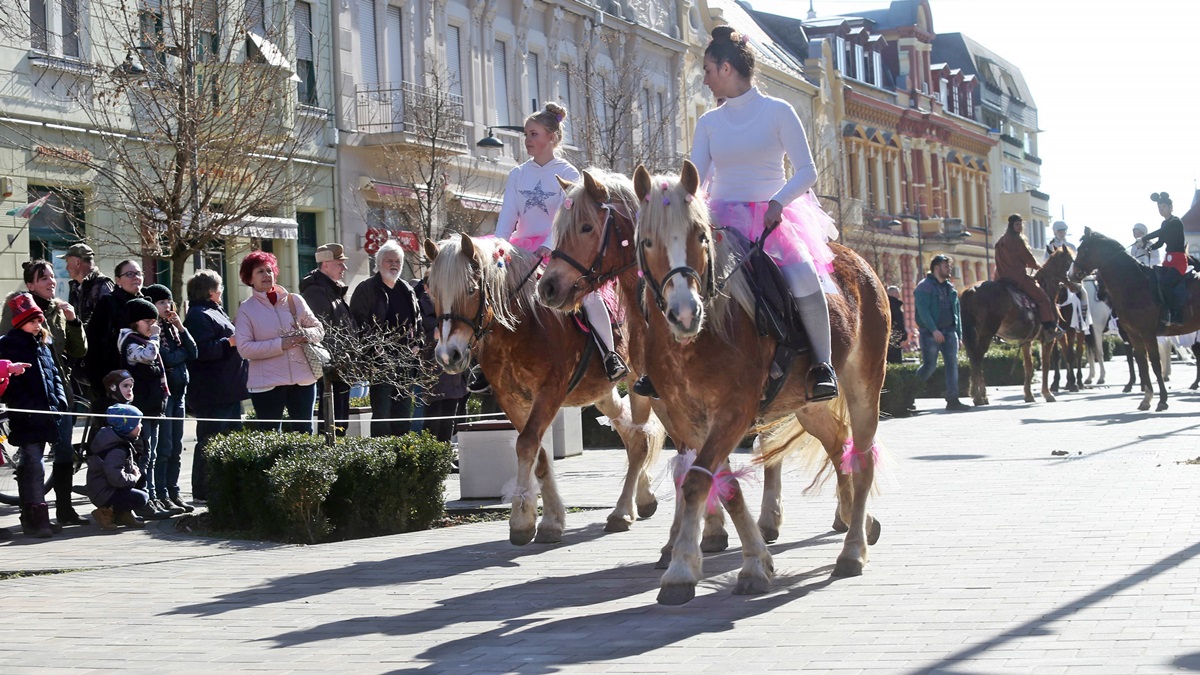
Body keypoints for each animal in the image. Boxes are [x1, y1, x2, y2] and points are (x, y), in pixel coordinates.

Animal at [422, 230, 667, 540]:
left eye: (470, 289)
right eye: (432, 292)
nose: (448, 355)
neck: (521, 327)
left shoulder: (550, 392)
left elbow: (527, 444)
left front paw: (522, 521)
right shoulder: (510, 399)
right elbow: (536, 452)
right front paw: (550, 520)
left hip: (637, 381)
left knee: (642, 436)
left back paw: (622, 511)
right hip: (599, 391)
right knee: (633, 433)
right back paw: (643, 497)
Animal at [537, 166, 811, 562]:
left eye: (586, 227)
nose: (547, 287)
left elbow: (689, 465)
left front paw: (690, 535)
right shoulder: (667, 402)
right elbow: (688, 464)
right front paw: (700, 533)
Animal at [628, 158, 892, 605]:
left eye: (701, 236)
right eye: (646, 241)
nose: (685, 313)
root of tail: (859, 263)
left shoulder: (734, 412)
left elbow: (698, 482)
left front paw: (683, 569)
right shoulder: (687, 419)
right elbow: (721, 485)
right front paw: (751, 562)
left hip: (863, 389)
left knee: (862, 460)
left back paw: (853, 548)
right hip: (808, 406)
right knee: (839, 446)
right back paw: (856, 520)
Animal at [960, 247, 1075, 403]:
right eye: (1070, 261)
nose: (1076, 284)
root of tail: (972, 290)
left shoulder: (1026, 341)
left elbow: (1029, 365)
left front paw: (1028, 395)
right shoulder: (1048, 340)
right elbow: (1045, 364)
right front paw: (1047, 393)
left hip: (972, 333)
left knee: (973, 358)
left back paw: (978, 394)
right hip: (987, 332)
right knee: (977, 357)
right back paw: (979, 396)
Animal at [1070, 227, 1200, 410]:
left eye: (1083, 251)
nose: (1071, 274)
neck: (1134, 285)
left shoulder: (1147, 334)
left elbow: (1154, 364)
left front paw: (1162, 400)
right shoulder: (1133, 335)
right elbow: (1142, 363)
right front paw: (1146, 398)